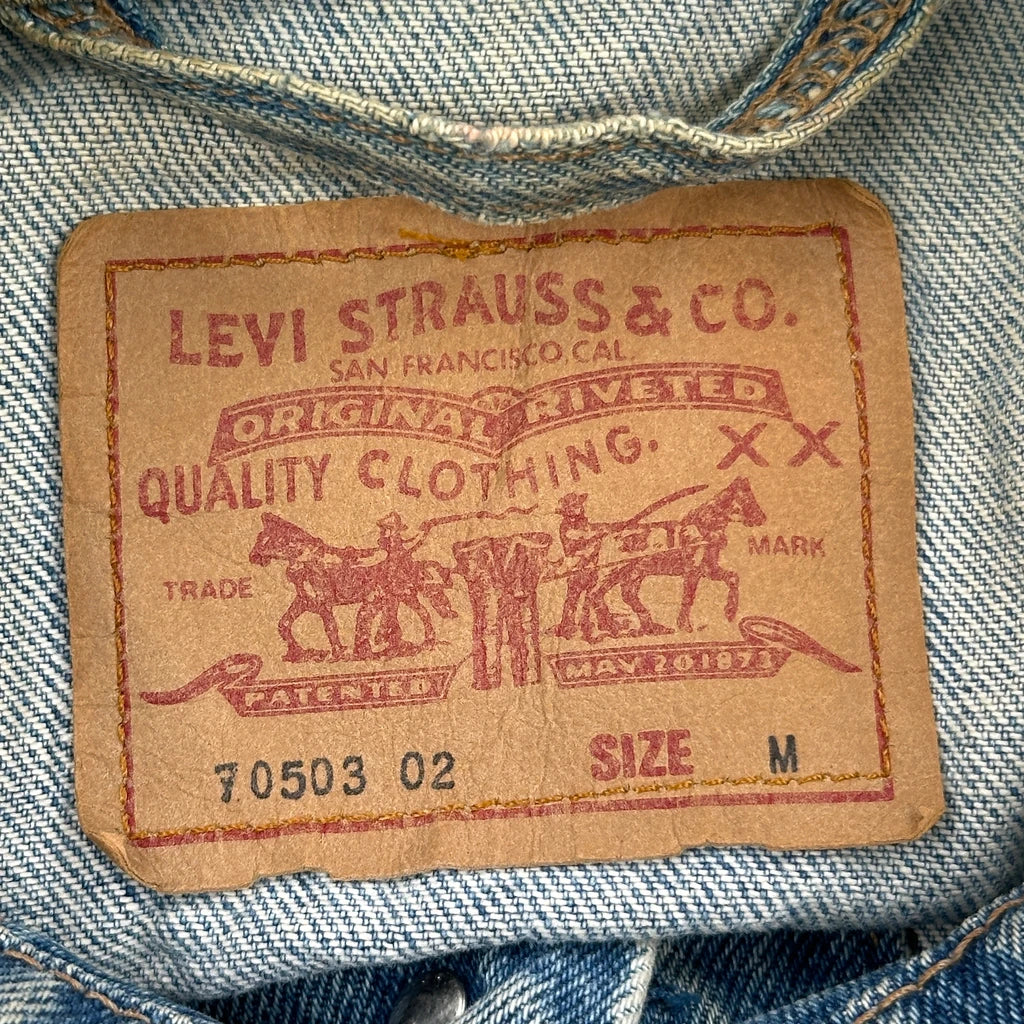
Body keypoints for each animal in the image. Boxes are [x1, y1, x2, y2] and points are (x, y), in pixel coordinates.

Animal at [248, 513, 455, 662]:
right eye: (259, 536)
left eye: (264, 538)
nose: (253, 557)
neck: (306, 559)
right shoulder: (304, 601)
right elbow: (284, 624)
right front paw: (296, 652)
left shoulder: (323, 604)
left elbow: (330, 628)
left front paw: (337, 653)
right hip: (400, 596)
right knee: (415, 613)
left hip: (402, 595)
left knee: (421, 613)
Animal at [582, 477, 767, 640]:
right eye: (748, 499)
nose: (762, 518)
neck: (702, 529)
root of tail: (604, 534)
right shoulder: (692, 572)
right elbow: (688, 598)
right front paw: (685, 626)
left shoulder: (708, 569)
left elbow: (733, 577)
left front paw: (729, 612)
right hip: (613, 571)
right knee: (595, 594)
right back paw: (608, 627)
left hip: (634, 573)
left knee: (625, 594)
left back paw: (647, 626)